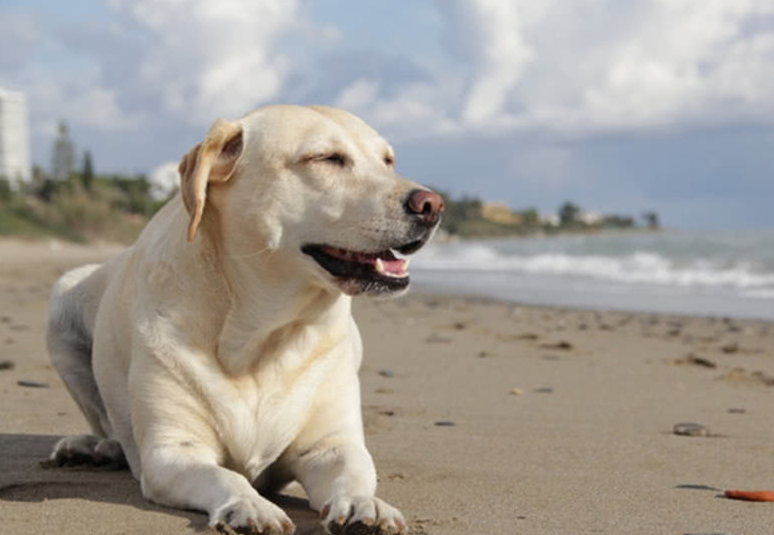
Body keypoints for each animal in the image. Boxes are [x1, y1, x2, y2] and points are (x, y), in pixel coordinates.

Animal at [47, 104, 442, 535]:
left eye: (388, 161)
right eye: (326, 158)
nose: (432, 204)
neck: (262, 336)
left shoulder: (330, 445)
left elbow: (354, 471)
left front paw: (364, 504)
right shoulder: (173, 452)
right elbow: (225, 476)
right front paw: (249, 504)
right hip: (62, 301)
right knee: (105, 423)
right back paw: (94, 447)